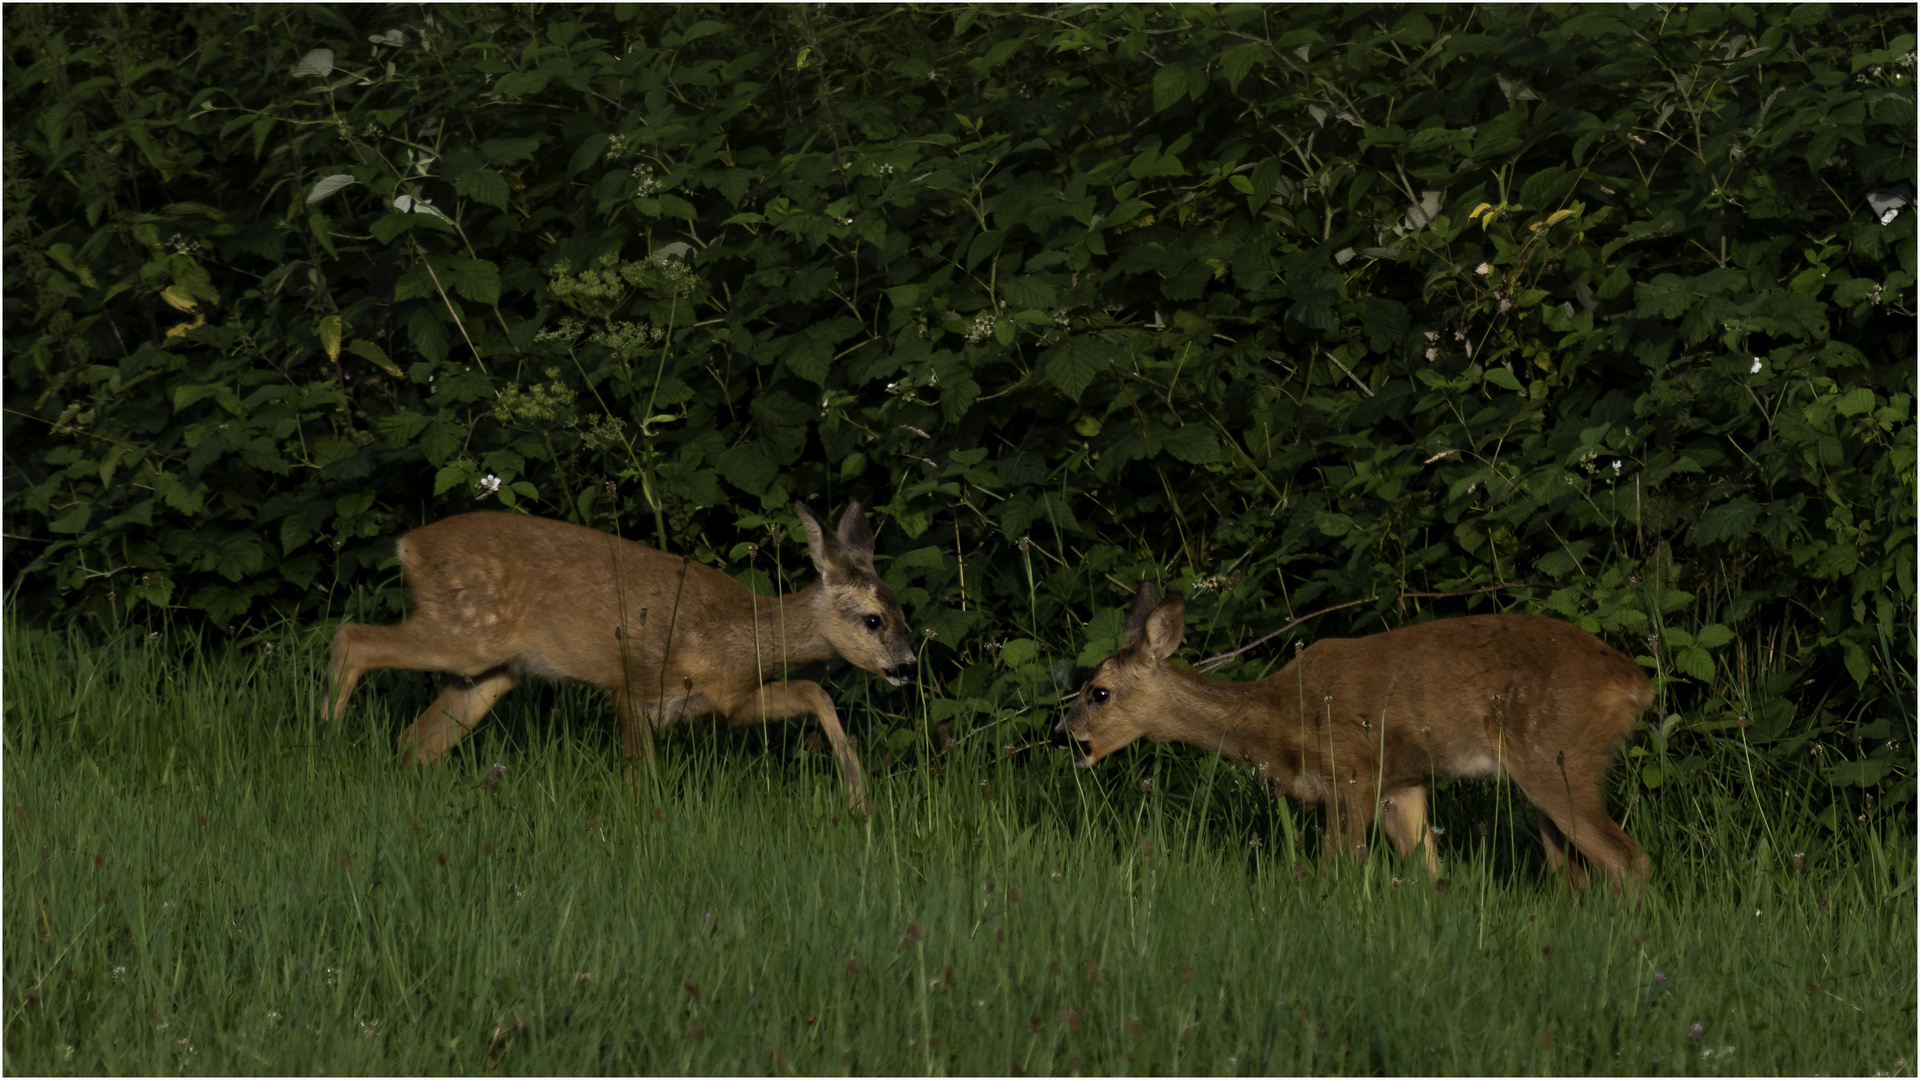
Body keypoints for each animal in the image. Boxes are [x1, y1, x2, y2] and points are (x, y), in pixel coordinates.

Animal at [328, 495, 913, 807]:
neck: (731, 637)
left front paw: (858, 798)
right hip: (466, 636)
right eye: (873, 619)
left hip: (493, 670)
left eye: (903, 612)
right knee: (352, 637)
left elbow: (814, 690)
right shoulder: (637, 686)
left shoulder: (728, 702)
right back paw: (324, 736)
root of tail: (408, 545)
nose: (907, 666)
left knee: (416, 739)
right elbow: (640, 780)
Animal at [1052, 580, 1651, 891]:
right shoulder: (1400, 783)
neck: (1277, 720)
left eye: (1098, 692)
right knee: (1574, 873)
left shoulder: (1353, 770)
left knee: (1628, 859)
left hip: (1557, 755)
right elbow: (1430, 875)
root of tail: (1635, 684)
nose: (1060, 735)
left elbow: (1334, 871)